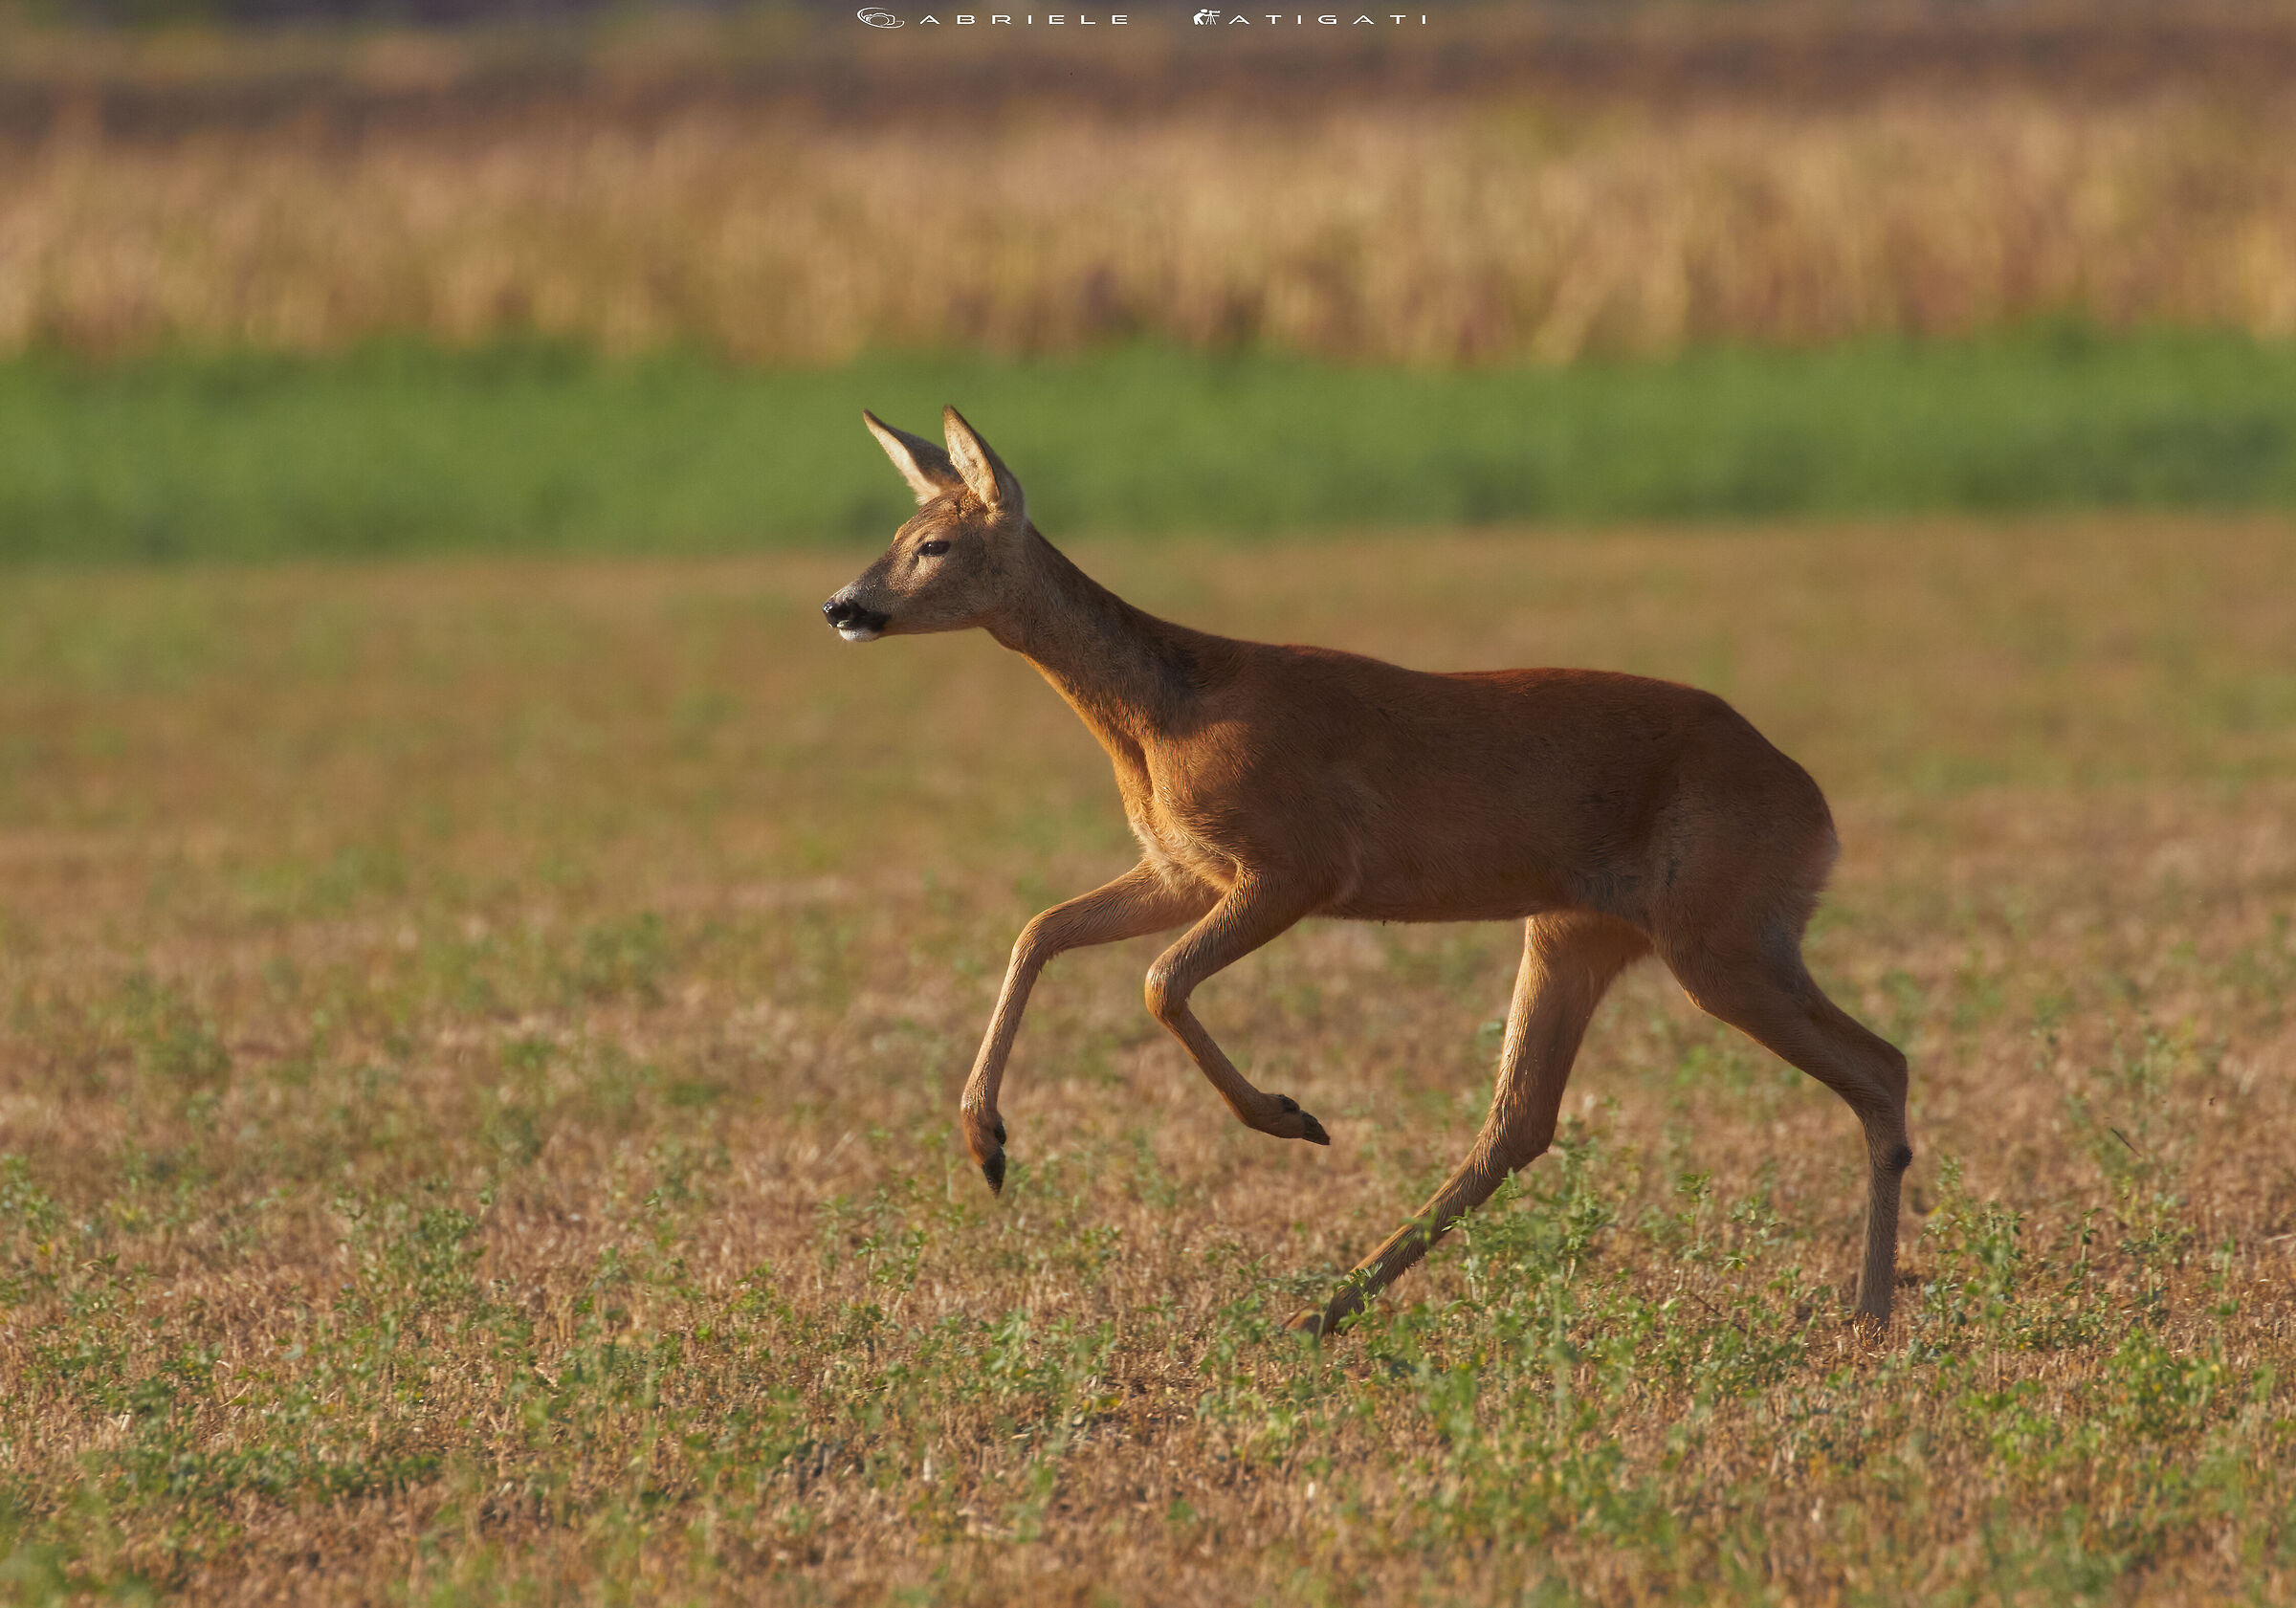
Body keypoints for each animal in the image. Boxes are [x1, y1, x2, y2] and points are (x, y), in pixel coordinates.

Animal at [821, 406, 1912, 1338]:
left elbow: (1158, 981)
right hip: (1586, 928)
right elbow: (1039, 928)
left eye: (935, 544)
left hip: (1720, 930)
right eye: (902, 527)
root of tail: (1814, 807)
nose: (844, 605)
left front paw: (1285, 1116)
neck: (1163, 719)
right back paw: (1322, 1309)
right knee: (1519, 1123)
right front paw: (985, 1142)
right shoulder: (1183, 868)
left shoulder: (1297, 865)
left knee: (1882, 1065)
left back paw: (1868, 1316)